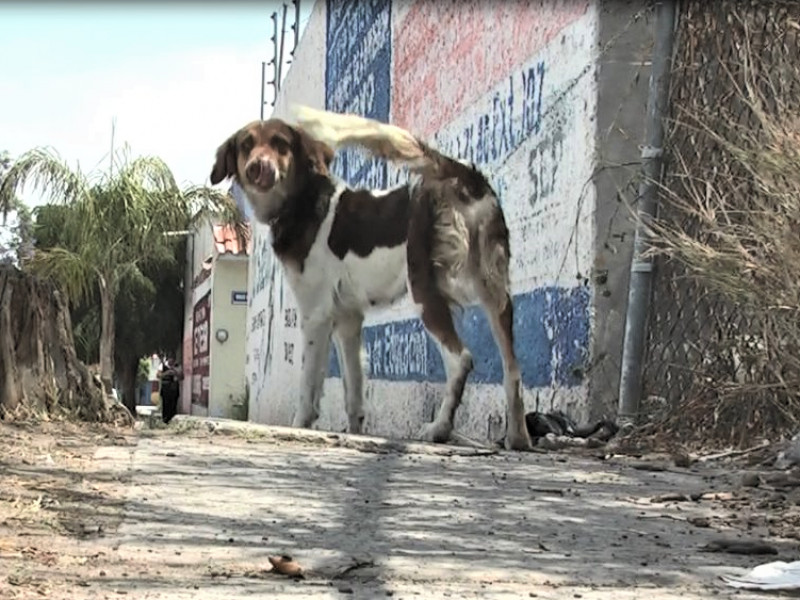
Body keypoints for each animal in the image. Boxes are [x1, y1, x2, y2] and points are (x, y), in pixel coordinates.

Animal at [211, 108, 532, 450]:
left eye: (280, 144)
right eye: (246, 145)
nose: (258, 167)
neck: (303, 200)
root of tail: (459, 172)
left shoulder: (316, 316)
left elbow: (308, 386)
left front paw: (300, 426)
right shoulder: (348, 320)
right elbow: (353, 389)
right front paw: (354, 433)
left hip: (424, 289)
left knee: (462, 359)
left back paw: (440, 428)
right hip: (495, 290)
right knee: (512, 368)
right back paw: (518, 437)